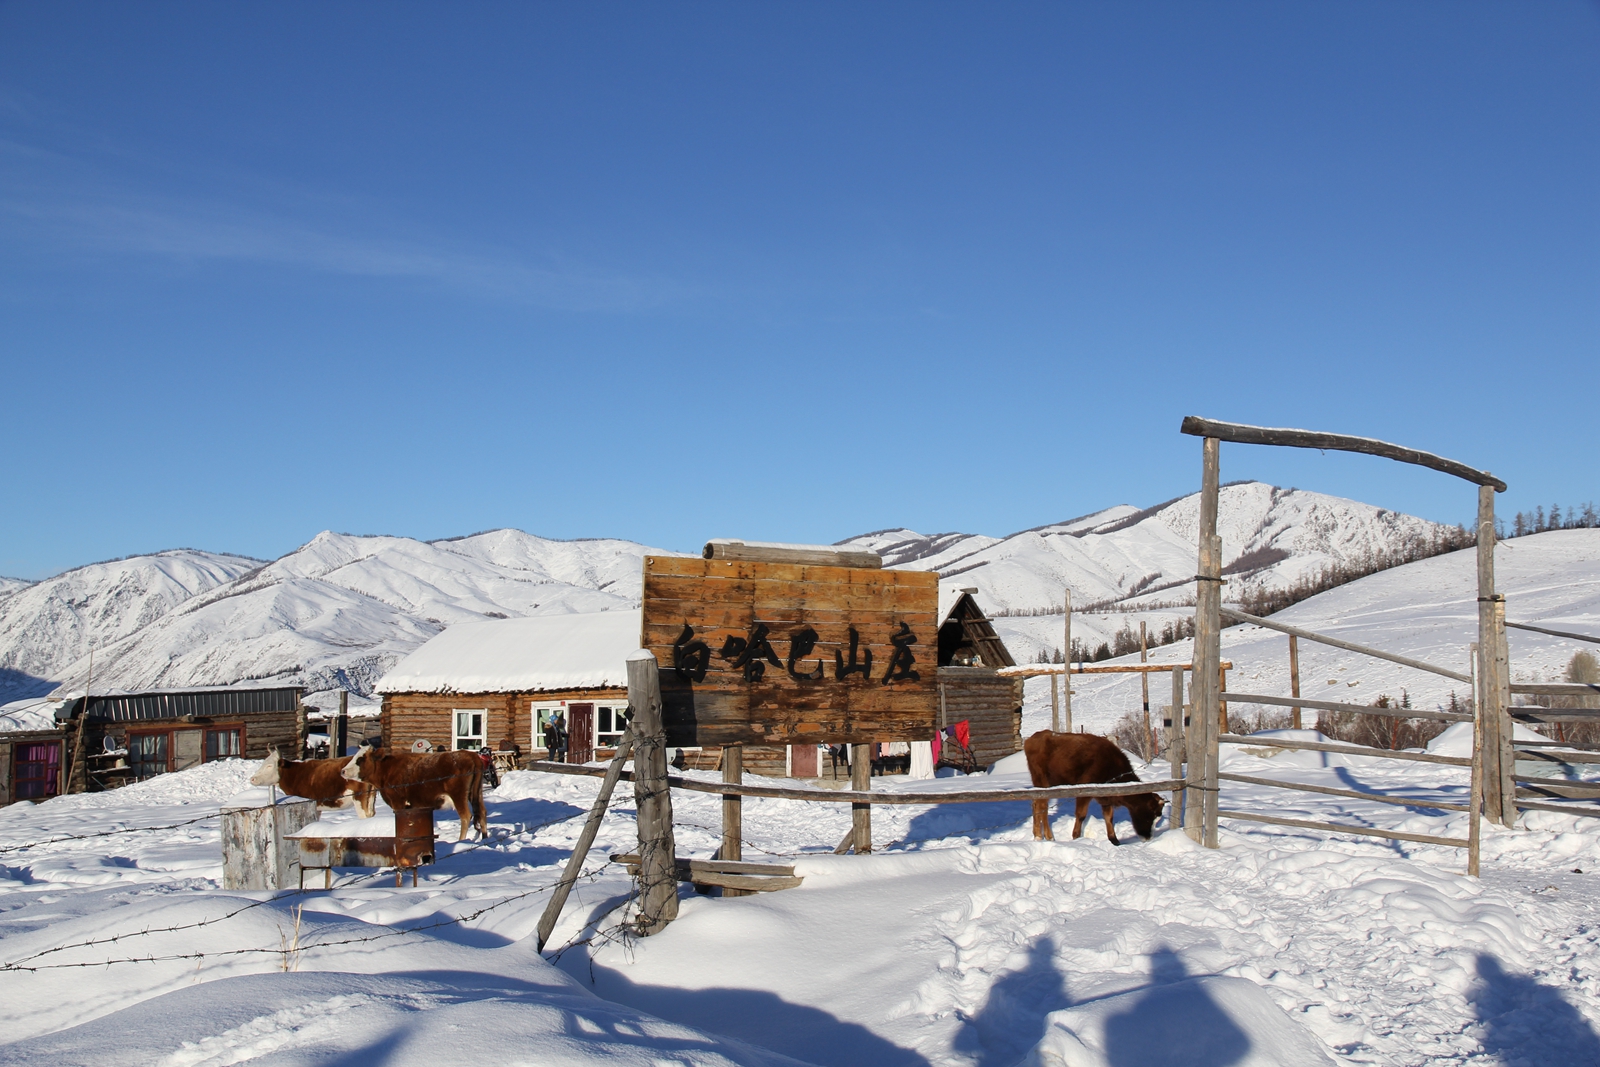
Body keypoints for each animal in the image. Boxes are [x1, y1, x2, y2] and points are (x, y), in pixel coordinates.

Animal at [340, 742, 483, 844]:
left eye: (360, 759)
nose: (343, 771)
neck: (387, 770)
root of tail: (471, 755)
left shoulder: (398, 802)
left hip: (458, 795)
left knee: (466, 816)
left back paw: (461, 841)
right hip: (476, 794)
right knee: (482, 813)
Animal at [1024, 729, 1164, 844]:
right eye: (1150, 815)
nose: (1148, 838)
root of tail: (1032, 738)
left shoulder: (1106, 797)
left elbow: (1109, 817)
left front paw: (1114, 840)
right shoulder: (1084, 791)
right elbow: (1081, 815)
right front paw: (1076, 837)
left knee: (1036, 804)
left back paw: (1037, 836)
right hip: (1043, 782)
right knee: (1042, 806)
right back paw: (1049, 837)